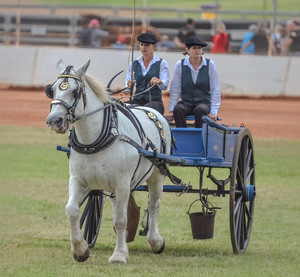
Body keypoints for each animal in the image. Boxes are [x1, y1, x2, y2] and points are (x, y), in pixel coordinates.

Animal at [44, 58, 171, 264]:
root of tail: (152, 110)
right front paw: (81, 249)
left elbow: (120, 220)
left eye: (75, 91)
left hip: (156, 175)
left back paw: (155, 241)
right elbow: (72, 210)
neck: (94, 140)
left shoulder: (122, 183)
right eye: (52, 89)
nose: (54, 120)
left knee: (153, 205)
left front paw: (118, 255)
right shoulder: (78, 180)